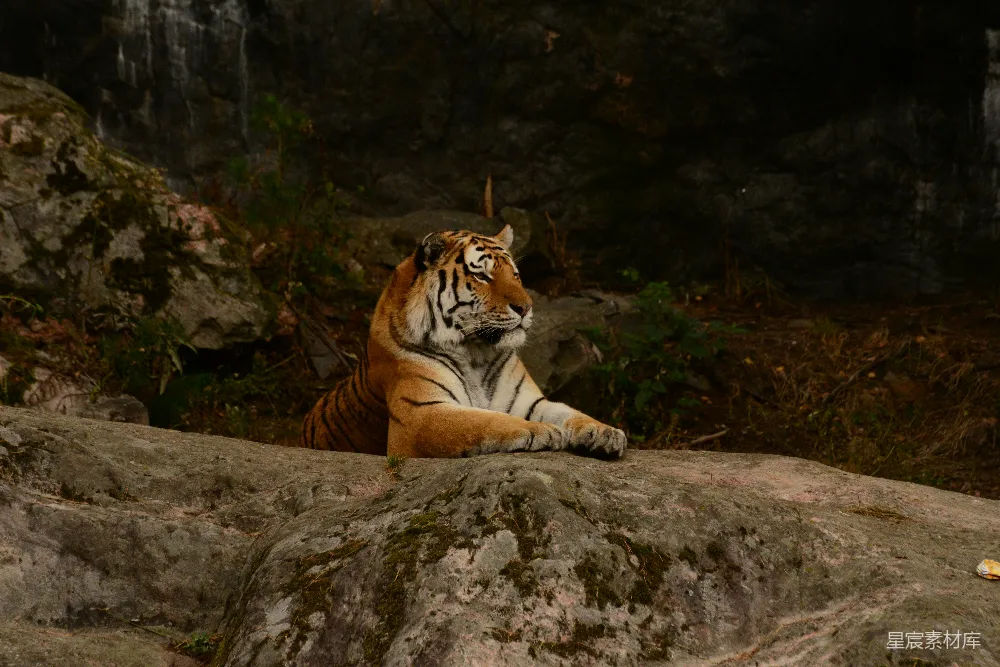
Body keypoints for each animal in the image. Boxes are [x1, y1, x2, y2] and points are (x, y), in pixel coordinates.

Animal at [299, 224, 627, 459]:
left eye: (516, 275)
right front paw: (542, 431)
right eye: (482, 276)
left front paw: (605, 432)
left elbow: (569, 412)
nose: (526, 307)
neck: (476, 353)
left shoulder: (528, 401)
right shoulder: (421, 414)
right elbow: (485, 421)